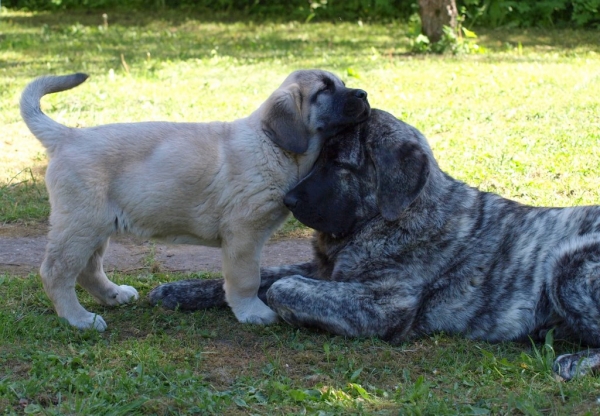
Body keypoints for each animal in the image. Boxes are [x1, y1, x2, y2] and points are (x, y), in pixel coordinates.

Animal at [150, 109, 600, 380]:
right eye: (317, 158)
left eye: (340, 164)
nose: (289, 200)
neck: (389, 217)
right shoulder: (322, 269)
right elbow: (258, 277)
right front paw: (181, 290)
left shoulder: (385, 302)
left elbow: (280, 287)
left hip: (568, 263)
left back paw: (574, 362)